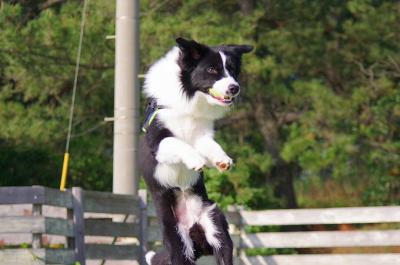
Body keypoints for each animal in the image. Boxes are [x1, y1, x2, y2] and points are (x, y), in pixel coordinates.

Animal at [140, 37, 253, 264]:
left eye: (232, 70)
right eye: (212, 69)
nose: (234, 88)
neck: (189, 102)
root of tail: (192, 226)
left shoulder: (201, 135)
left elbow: (210, 145)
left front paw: (222, 160)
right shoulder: (157, 142)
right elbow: (178, 143)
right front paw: (194, 160)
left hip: (217, 228)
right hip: (178, 243)